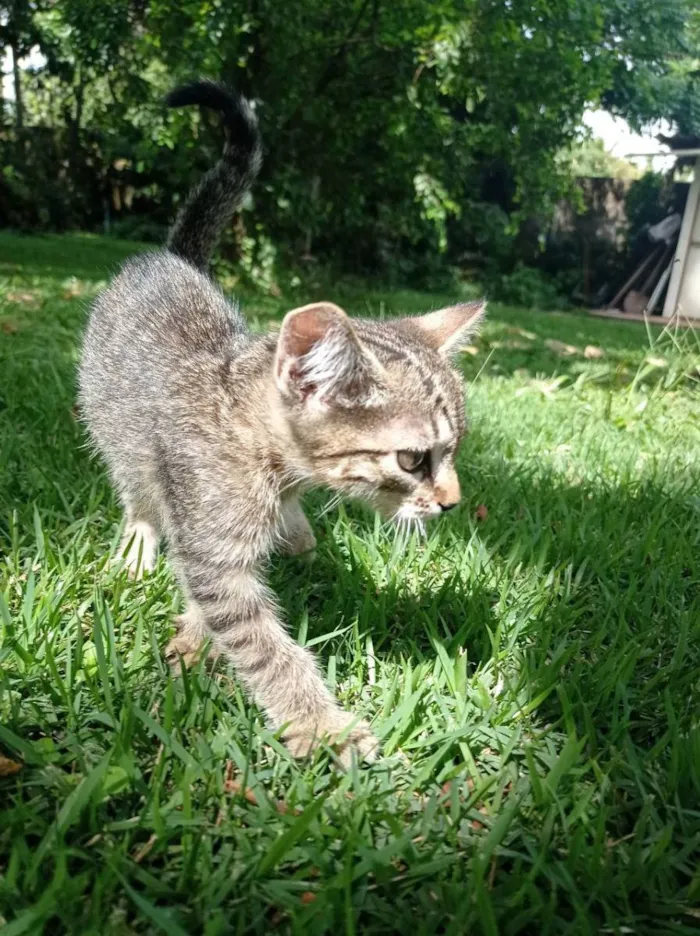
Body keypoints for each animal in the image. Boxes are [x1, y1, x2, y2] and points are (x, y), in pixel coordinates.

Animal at [79, 80, 484, 768]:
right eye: (412, 460)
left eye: (453, 451)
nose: (452, 502)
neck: (259, 448)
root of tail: (170, 258)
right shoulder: (212, 548)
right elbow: (262, 645)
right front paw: (322, 726)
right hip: (113, 428)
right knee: (137, 489)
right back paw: (138, 546)